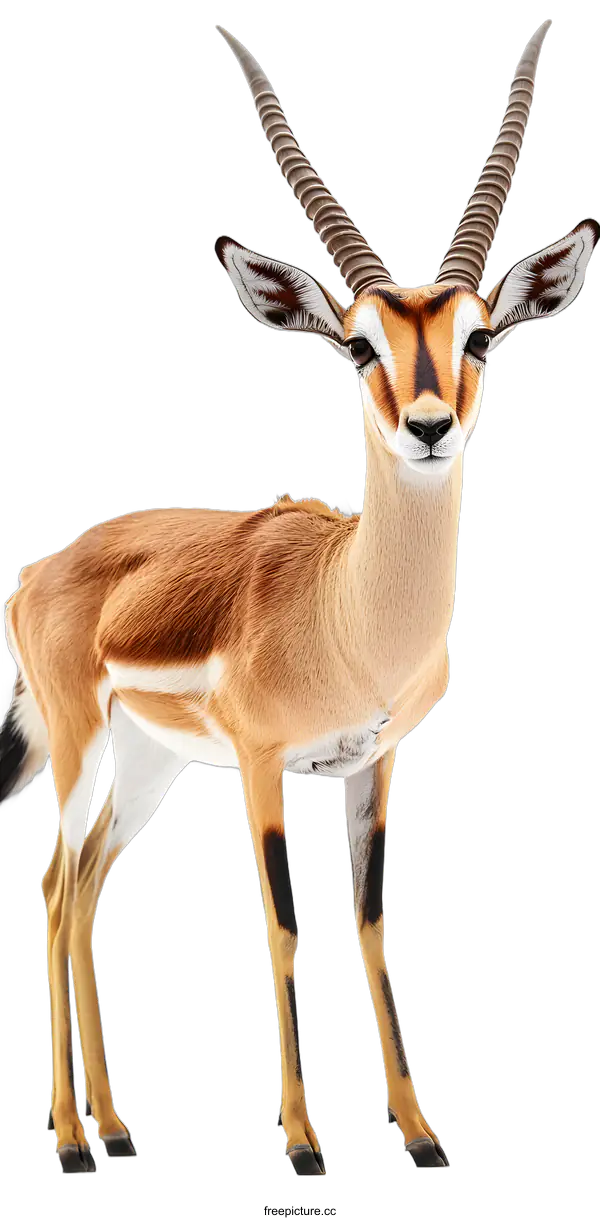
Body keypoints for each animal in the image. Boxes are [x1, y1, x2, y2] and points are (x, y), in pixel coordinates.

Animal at [1, 19, 598, 1180]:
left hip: (151, 755)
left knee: (89, 881)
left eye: (478, 337)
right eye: (358, 342)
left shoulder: (371, 761)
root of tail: (44, 571)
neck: (348, 612)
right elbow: (285, 922)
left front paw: (420, 1137)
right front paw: (303, 1141)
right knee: (52, 889)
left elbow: (369, 921)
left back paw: (118, 1128)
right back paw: (74, 1145)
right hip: (78, 741)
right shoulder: (267, 764)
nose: (428, 427)